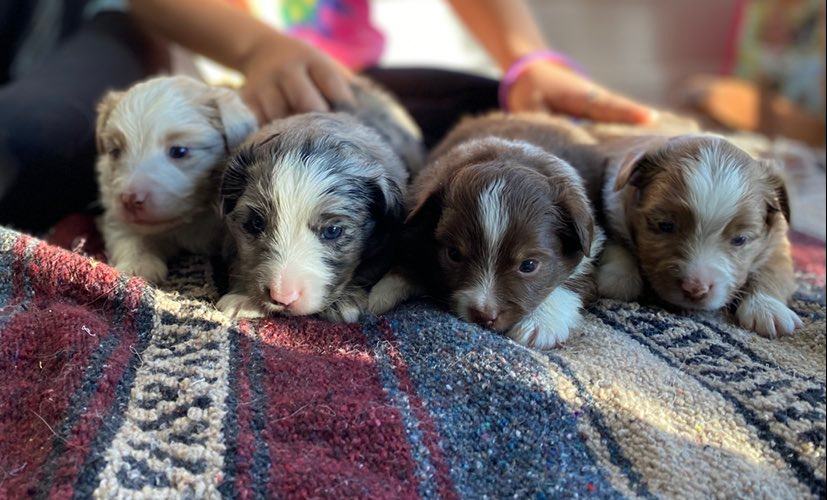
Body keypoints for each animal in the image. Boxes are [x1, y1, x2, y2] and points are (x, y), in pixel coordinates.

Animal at [94, 76, 256, 284]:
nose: (129, 199)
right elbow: (126, 232)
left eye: (179, 151)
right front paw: (137, 264)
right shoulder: (114, 209)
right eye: (115, 151)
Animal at [372, 113, 604, 348]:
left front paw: (541, 323)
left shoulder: (592, 238)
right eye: (454, 254)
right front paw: (380, 292)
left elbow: (574, 276)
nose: (483, 316)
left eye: (529, 265)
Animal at [596, 133, 804, 338]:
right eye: (665, 226)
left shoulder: (778, 240)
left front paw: (767, 308)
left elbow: (774, 269)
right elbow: (616, 243)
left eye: (740, 239)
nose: (695, 289)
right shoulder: (612, 208)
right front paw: (618, 277)